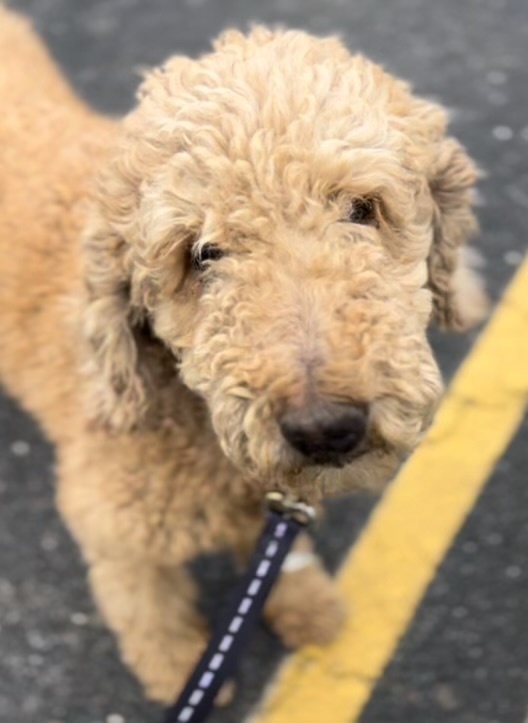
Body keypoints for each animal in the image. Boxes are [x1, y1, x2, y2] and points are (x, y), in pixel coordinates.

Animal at [0, 7, 486, 708]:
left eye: (362, 208)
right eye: (201, 253)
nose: (326, 429)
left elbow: (285, 564)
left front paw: (310, 608)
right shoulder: (115, 532)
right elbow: (147, 607)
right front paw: (179, 668)